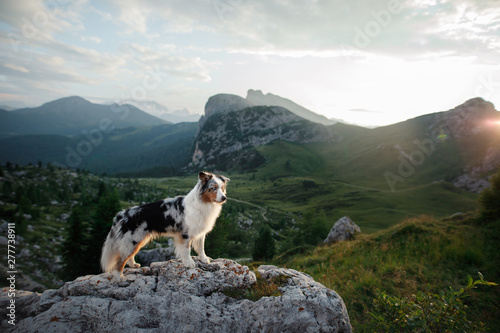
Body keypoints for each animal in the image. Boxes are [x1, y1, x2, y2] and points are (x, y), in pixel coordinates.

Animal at [99, 172, 230, 278]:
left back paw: (134, 265)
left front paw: (204, 259)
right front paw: (189, 263)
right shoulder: (185, 234)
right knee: (120, 260)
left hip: (138, 240)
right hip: (132, 240)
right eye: (213, 188)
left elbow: (201, 248)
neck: (203, 203)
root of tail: (121, 215)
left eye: (222, 188)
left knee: (129, 256)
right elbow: (186, 250)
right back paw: (119, 278)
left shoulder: (200, 232)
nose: (224, 198)